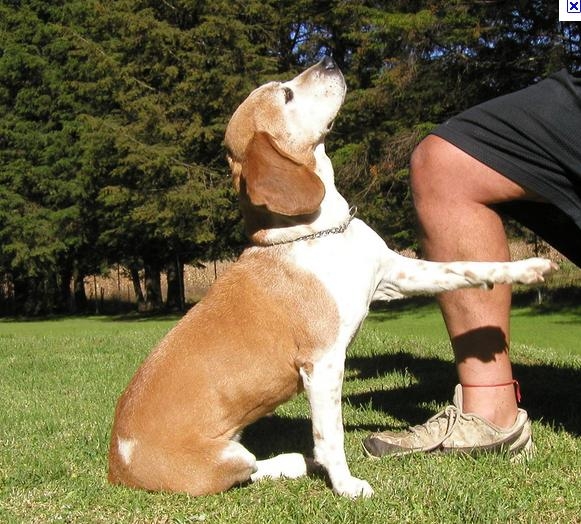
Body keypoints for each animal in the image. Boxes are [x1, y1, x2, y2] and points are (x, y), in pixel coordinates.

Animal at [106, 57, 556, 500]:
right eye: (286, 94)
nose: (325, 59)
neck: (317, 231)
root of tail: (115, 465)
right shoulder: (323, 364)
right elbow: (331, 437)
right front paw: (347, 486)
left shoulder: (394, 274)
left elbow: (465, 269)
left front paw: (528, 268)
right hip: (224, 458)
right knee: (250, 472)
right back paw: (298, 463)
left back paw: (296, 461)